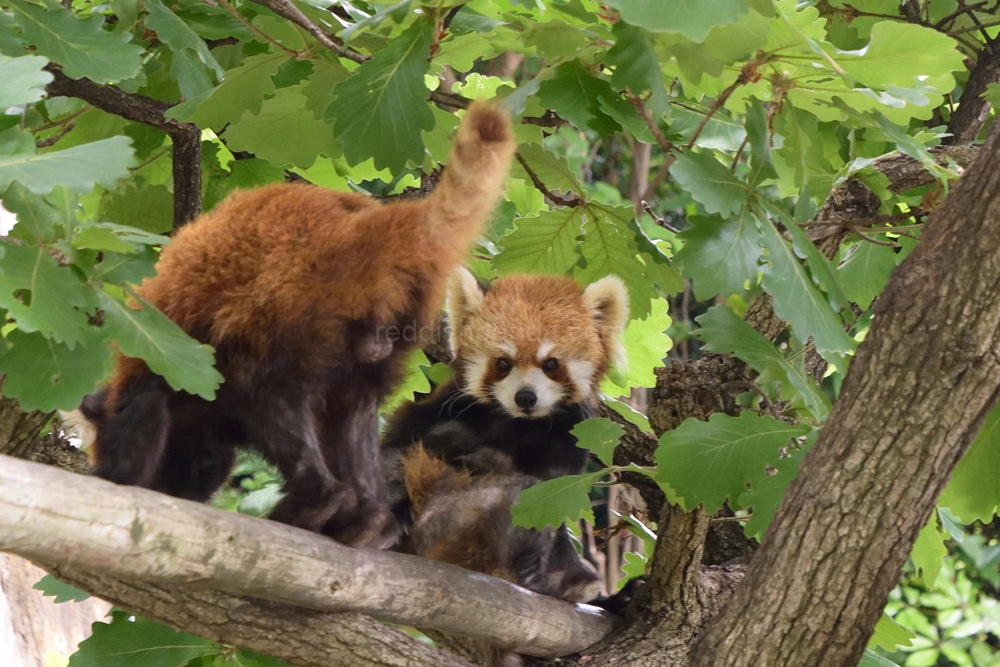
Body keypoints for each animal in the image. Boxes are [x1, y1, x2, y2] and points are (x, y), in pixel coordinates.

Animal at [84, 100, 516, 548]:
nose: (175, 492)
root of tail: (357, 229)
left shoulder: (156, 366)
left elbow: (139, 423)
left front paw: (122, 480)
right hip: (375, 343)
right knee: (350, 416)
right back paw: (368, 521)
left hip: (292, 316)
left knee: (268, 394)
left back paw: (315, 501)